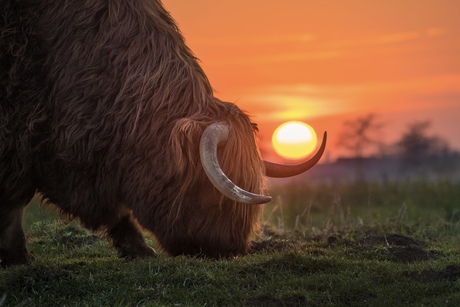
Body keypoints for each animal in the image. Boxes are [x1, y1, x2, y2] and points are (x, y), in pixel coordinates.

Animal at [0, 0, 328, 268]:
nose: (229, 250)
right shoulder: (17, 130)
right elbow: (15, 197)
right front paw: (17, 256)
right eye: (214, 196)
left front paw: (138, 250)